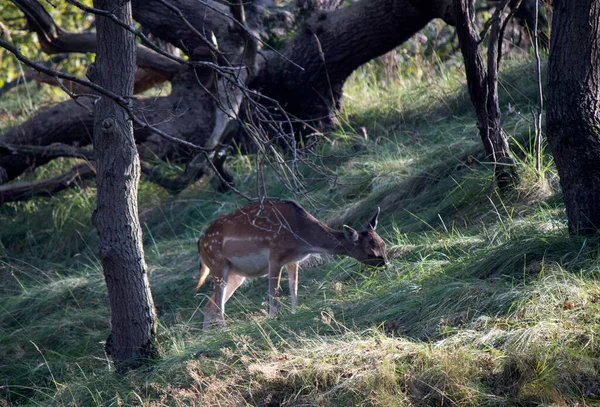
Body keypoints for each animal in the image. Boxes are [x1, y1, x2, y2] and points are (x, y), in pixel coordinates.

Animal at [195, 199, 386, 330]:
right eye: (371, 252)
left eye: (383, 245)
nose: (386, 265)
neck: (301, 237)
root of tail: (200, 245)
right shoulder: (275, 255)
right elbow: (274, 294)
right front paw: (273, 318)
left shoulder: (293, 261)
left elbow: (294, 290)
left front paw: (295, 313)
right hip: (218, 263)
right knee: (218, 305)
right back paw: (223, 329)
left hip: (236, 275)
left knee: (209, 305)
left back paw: (208, 335)